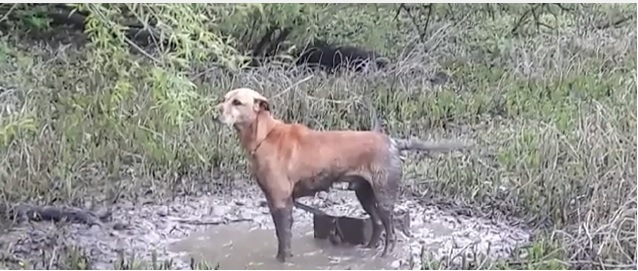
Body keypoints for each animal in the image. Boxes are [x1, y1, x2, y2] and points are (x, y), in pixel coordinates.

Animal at [218, 87, 472, 264]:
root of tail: (393, 142)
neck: (264, 135)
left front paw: (283, 261)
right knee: (377, 224)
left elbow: (285, 240)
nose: (215, 111)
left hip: (384, 195)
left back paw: (384, 255)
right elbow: (281, 238)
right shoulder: (274, 201)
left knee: (390, 230)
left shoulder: (281, 202)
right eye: (225, 98)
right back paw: (367, 250)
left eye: (237, 102)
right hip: (364, 193)